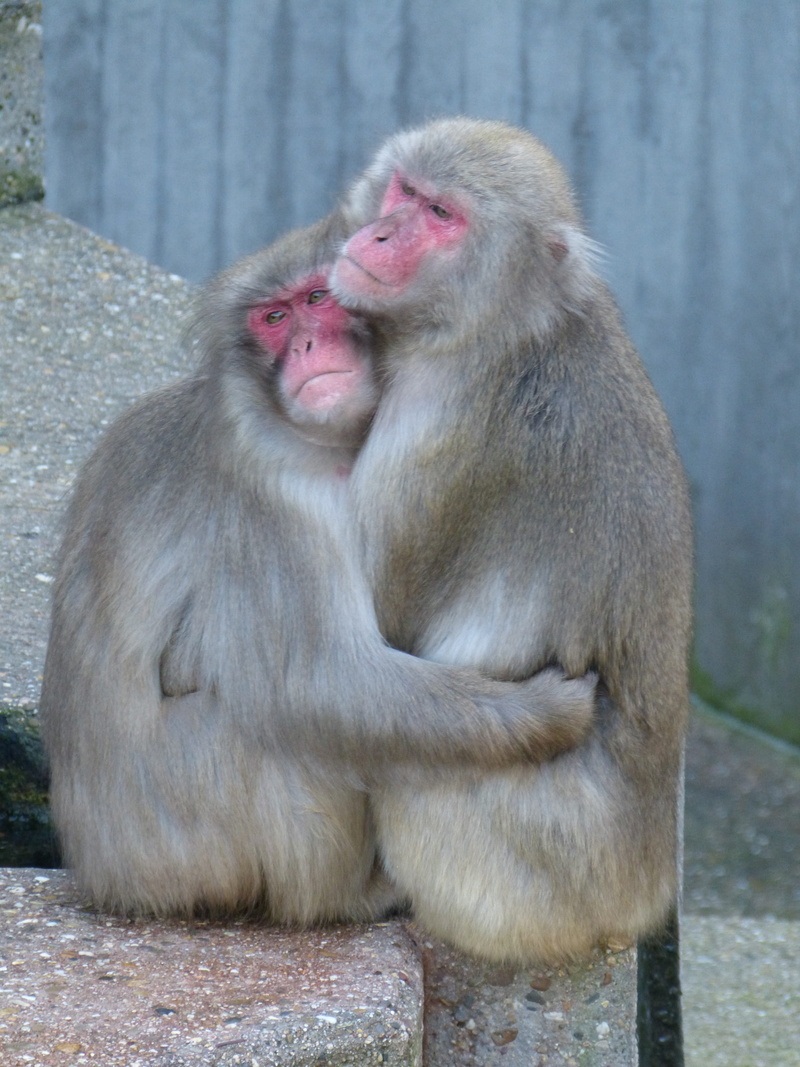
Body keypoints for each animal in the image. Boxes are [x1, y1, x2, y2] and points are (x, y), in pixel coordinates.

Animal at [40, 211, 597, 922]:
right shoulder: (273, 503)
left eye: (317, 299)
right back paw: (347, 897)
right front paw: (549, 712)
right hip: (184, 834)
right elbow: (318, 685)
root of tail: (102, 877)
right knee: (275, 717)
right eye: (274, 318)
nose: (307, 345)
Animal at [330, 117, 693, 963]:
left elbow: (365, 626)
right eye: (405, 192)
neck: (501, 322)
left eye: (442, 215)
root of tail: (641, 891)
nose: (381, 232)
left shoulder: (438, 430)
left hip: (522, 876)